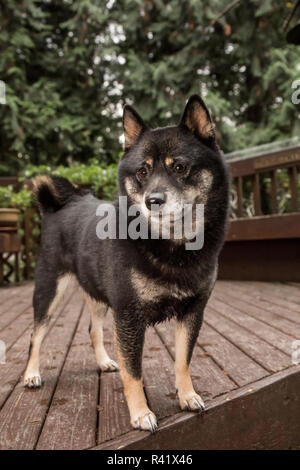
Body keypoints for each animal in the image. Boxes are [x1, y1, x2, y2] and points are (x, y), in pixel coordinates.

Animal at [24, 95, 230, 434]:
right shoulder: (129, 316)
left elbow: (183, 360)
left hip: (97, 294)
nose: (152, 201)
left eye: (180, 167)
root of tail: (59, 207)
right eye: (143, 172)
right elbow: (133, 372)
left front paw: (187, 395)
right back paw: (31, 374)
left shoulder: (192, 312)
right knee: (36, 336)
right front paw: (140, 413)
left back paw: (104, 361)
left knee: (93, 329)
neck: (171, 245)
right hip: (49, 292)